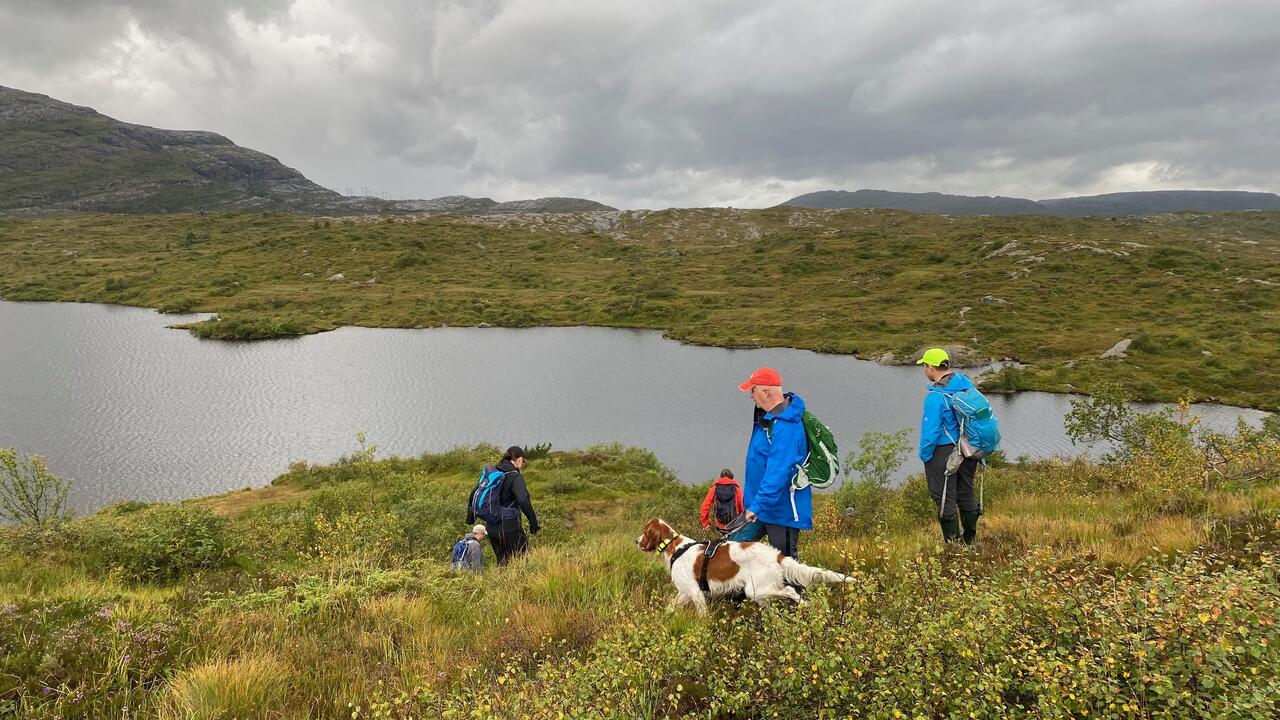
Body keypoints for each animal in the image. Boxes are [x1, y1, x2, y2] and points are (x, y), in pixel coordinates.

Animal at [634, 515, 855, 609]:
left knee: (790, 590)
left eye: (644, 532)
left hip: (754, 589)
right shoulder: (685, 592)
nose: (636, 541)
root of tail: (775, 555)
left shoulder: (695, 592)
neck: (676, 547)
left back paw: (802, 603)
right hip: (759, 592)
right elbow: (671, 607)